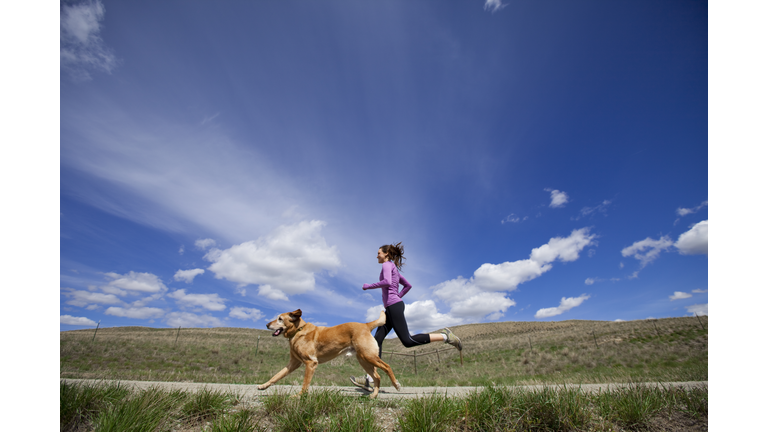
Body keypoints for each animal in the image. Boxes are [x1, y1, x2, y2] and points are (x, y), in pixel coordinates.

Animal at [258, 310, 402, 398]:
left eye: (280, 319)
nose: (266, 324)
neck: (298, 330)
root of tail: (366, 325)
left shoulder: (310, 363)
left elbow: (305, 383)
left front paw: (299, 396)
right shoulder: (293, 363)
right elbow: (276, 376)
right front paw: (263, 386)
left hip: (369, 357)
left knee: (387, 367)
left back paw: (396, 384)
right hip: (364, 360)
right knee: (377, 376)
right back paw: (374, 395)